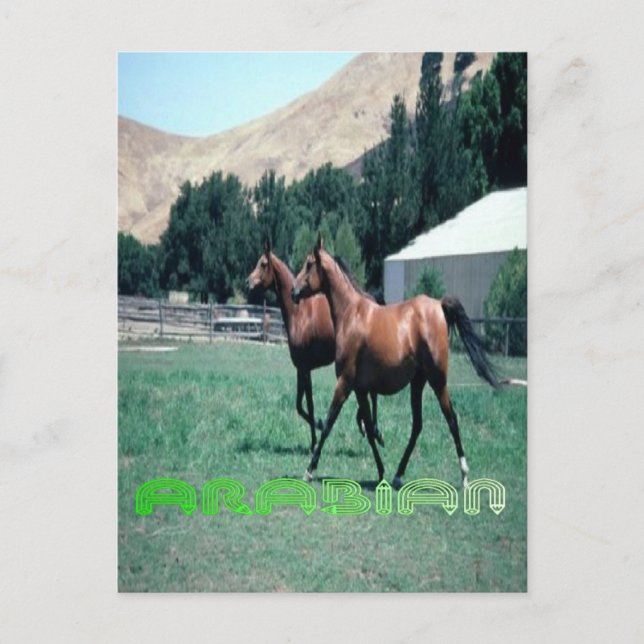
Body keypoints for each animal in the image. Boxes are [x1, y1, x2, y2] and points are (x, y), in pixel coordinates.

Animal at [246, 239, 381, 453]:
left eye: (263, 264)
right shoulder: (300, 369)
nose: (248, 282)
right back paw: (371, 429)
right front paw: (318, 428)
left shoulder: (305, 368)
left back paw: (372, 430)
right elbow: (299, 406)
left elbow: (308, 405)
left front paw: (315, 436)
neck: (298, 313)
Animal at [291, 234, 499, 488]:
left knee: (452, 419)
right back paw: (398, 475)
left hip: (438, 381)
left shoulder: (345, 383)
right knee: (417, 425)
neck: (351, 314)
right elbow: (369, 429)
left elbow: (329, 423)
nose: (293, 291)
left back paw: (464, 476)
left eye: (309, 264)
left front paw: (309, 470)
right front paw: (380, 471)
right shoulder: (360, 389)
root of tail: (439, 305)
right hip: (418, 383)